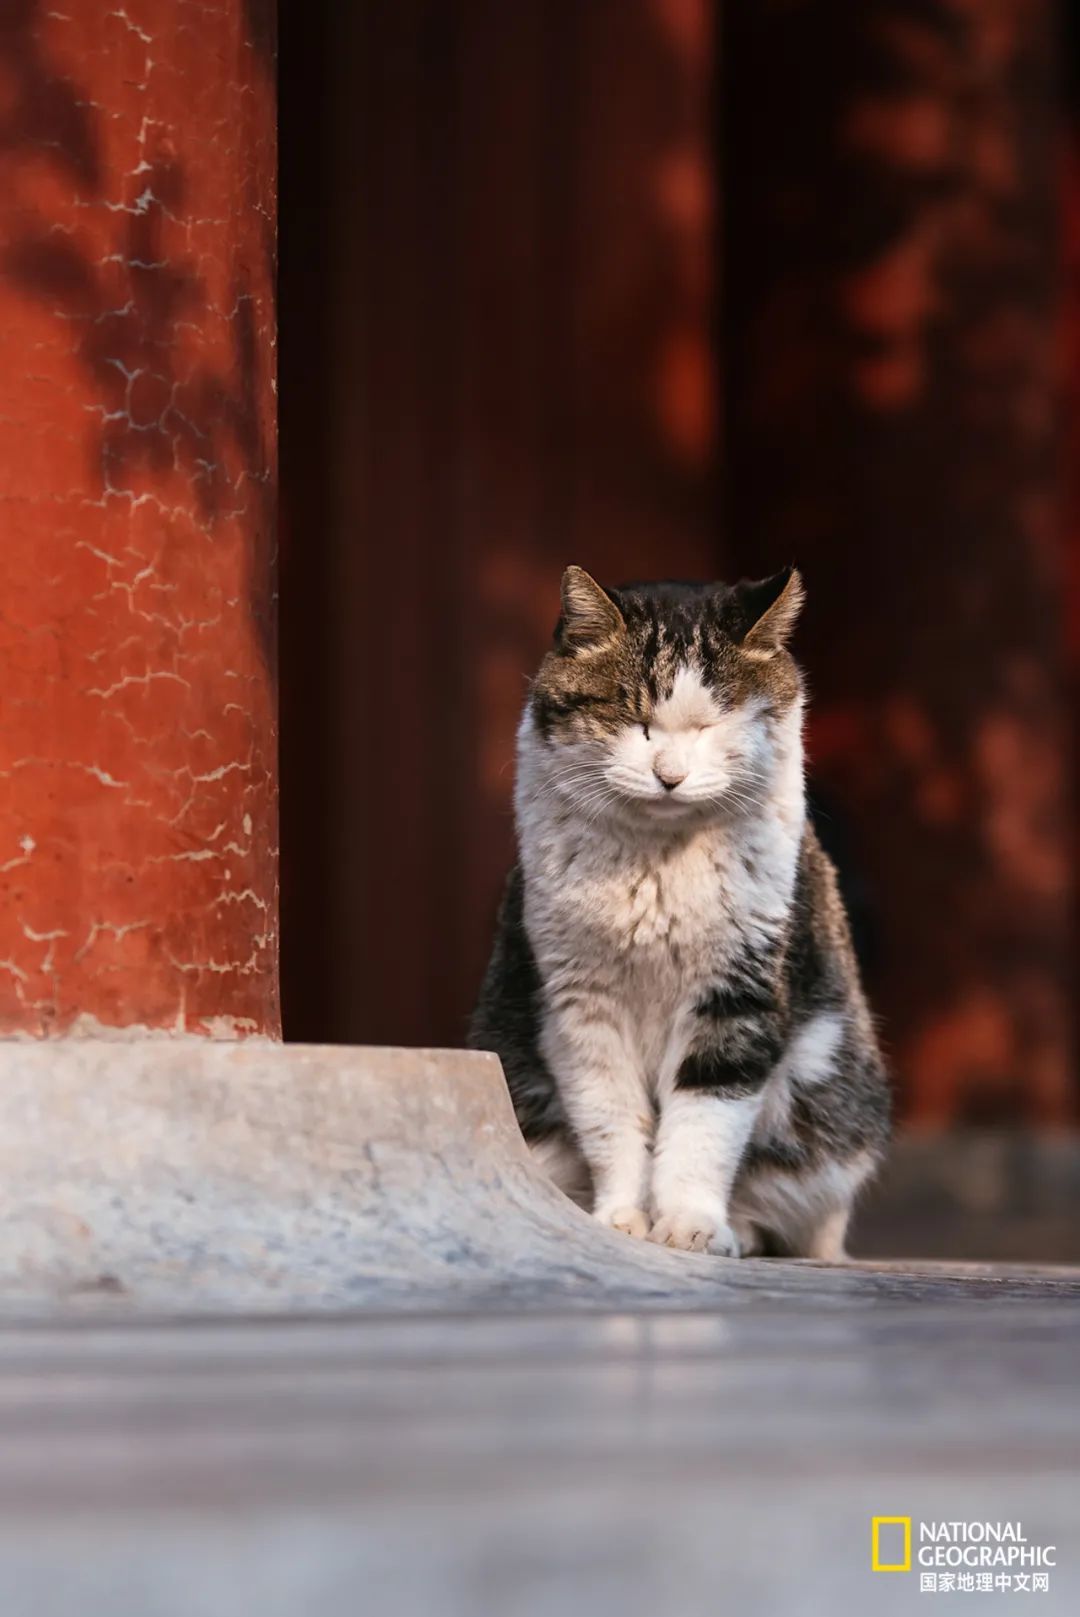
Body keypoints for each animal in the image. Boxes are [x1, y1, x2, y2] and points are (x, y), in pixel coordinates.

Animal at [468, 569, 885, 1261]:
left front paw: (690, 1224)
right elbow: (612, 1119)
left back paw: (739, 1232)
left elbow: (704, 1124)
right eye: (632, 718)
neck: (656, 867)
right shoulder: (580, 1005)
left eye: (714, 724)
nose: (670, 774)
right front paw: (621, 1219)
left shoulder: (737, 997)